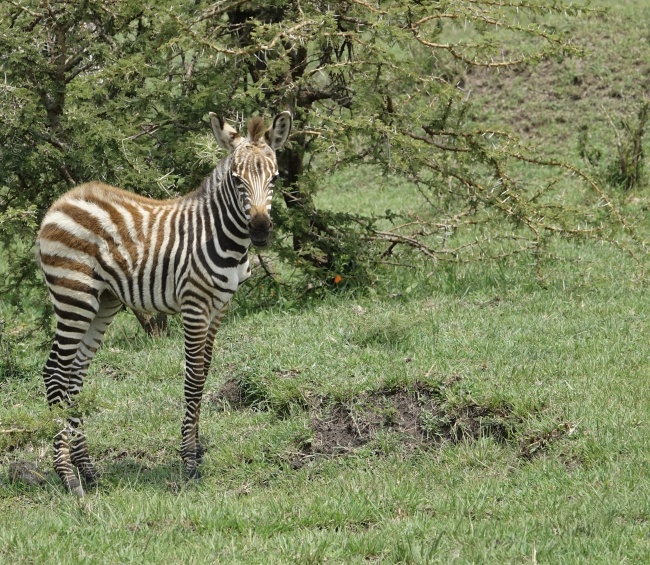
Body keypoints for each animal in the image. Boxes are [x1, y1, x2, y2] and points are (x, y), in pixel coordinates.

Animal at [37, 111, 292, 494]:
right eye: (236, 180)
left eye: (275, 177)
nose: (260, 230)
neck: (221, 235)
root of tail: (61, 201)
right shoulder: (194, 305)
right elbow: (194, 378)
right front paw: (189, 462)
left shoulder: (219, 308)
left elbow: (205, 371)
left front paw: (197, 450)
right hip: (74, 296)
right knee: (54, 373)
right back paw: (67, 476)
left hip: (103, 302)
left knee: (74, 376)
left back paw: (88, 470)